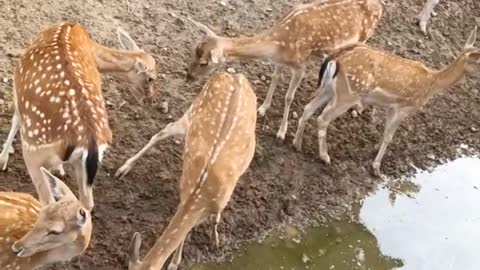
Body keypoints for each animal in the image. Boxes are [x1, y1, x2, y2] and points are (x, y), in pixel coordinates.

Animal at [0, 22, 157, 210]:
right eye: (151, 78)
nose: (151, 100)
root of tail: (90, 141)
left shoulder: (18, 89)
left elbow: (16, 118)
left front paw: (2, 159)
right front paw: (58, 169)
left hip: (34, 147)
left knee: (47, 201)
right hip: (84, 164)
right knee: (87, 202)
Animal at [125, 71, 256, 270]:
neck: (201, 194)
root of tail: (233, 74)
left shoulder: (219, 199)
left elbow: (215, 218)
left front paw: (215, 240)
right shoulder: (185, 190)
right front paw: (175, 262)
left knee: (165, 129)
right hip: (192, 111)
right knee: (165, 129)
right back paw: (123, 168)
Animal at [184, 0, 382, 141]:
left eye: (204, 63)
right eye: (193, 50)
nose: (188, 77)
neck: (279, 45)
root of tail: (380, 6)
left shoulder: (300, 66)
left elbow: (288, 97)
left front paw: (281, 132)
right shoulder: (279, 62)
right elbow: (274, 78)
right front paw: (262, 108)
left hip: (363, 39)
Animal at [292, 26, 480, 175]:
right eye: (479, 62)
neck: (432, 84)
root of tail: (334, 58)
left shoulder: (391, 106)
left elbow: (384, 132)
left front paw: (375, 152)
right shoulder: (404, 106)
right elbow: (390, 136)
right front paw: (376, 168)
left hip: (328, 88)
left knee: (308, 108)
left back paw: (297, 144)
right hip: (348, 94)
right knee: (323, 118)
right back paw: (325, 157)